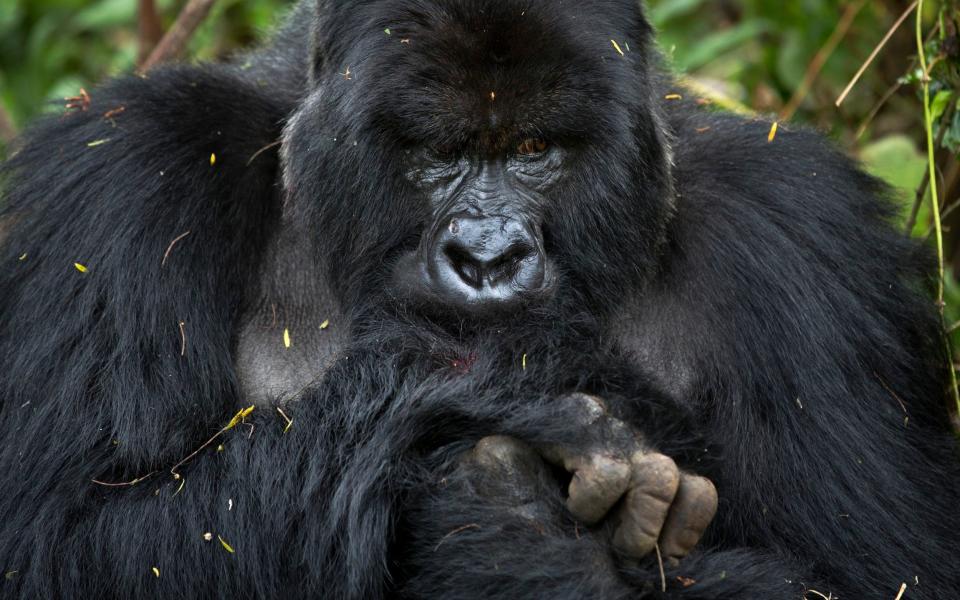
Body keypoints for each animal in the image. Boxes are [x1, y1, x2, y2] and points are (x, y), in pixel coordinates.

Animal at [1, 0, 960, 596]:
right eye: (437, 149)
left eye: (536, 149)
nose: (488, 258)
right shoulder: (124, 178)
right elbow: (58, 540)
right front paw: (482, 403)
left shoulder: (804, 240)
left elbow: (883, 577)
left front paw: (514, 534)